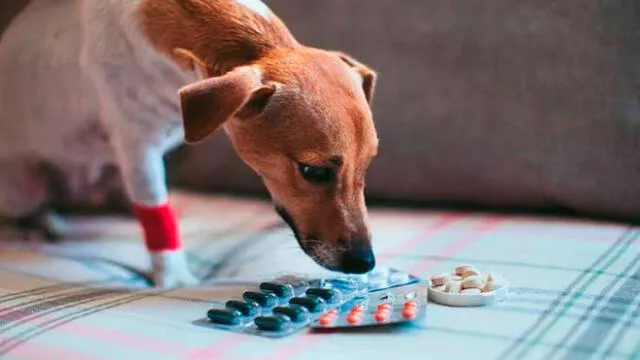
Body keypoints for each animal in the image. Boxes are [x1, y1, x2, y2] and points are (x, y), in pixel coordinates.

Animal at [0, 0, 380, 286]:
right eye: (312, 171)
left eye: (367, 166)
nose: (366, 263)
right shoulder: (139, 151)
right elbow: (157, 216)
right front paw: (175, 279)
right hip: (24, 184)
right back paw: (38, 224)